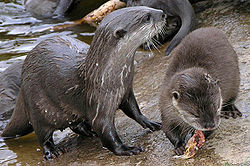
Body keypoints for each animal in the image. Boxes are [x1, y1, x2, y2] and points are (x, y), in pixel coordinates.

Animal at [1, 6, 167, 159]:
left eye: (149, 8)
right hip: (37, 105)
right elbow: (105, 131)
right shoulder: (98, 103)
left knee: (74, 123)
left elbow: (134, 110)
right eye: (147, 17)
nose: (163, 13)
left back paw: (87, 130)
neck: (106, 77)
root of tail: (22, 87)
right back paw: (52, 151)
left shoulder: (126, 92)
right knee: (42, 135)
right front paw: (126, 149)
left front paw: (149, 122)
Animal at [160, 26, 242, 155]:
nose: (210, 125)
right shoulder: (166, 108)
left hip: (235, 78)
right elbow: (168, 129)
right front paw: (179, 146)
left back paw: (230, 109)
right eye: (195, 114)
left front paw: (198, 138)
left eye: (216, 107)